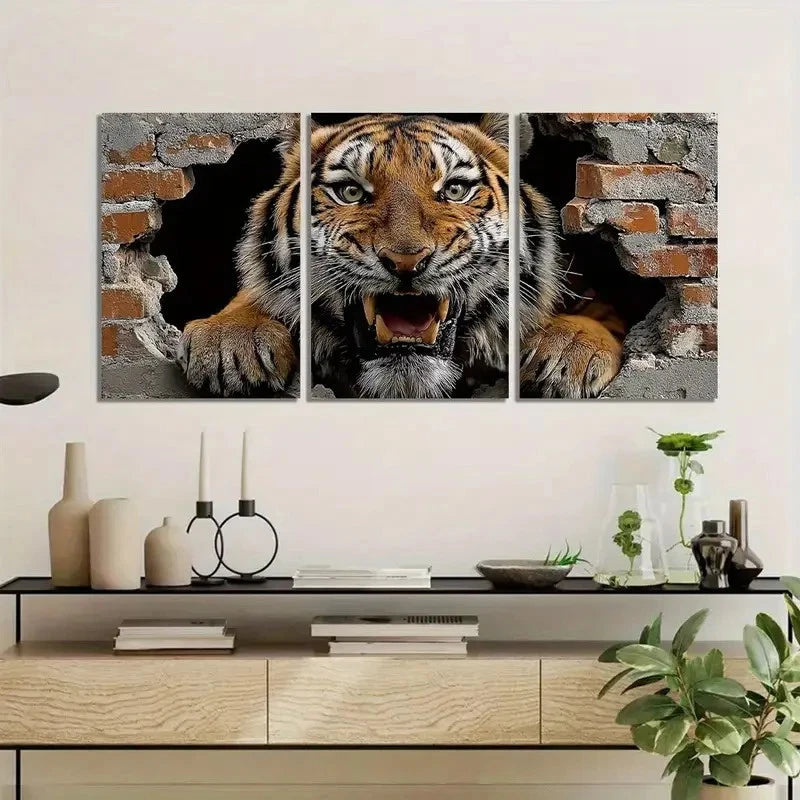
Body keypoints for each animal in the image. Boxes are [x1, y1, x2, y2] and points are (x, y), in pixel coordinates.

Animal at [178, 113, 623, 400]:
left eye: (455, 190)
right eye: (350, 192)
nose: (406, 261)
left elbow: (602, 312)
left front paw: (568, 352)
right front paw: (231, 341)